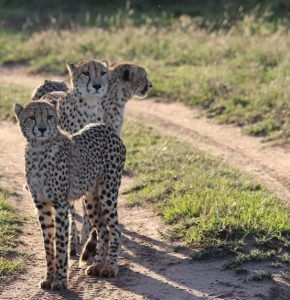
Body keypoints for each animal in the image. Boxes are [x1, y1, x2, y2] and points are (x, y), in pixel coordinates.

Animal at [14, 100, 125, 288]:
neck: (39, 149)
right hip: (90, 198)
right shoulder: (42, 205)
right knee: (103, 229)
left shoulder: (60, 204)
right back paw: (97, 265)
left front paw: (60, 281)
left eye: (50, 117)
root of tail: (106, 127)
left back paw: (110, 267)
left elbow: (60, 243)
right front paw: (49, 278)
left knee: (115, 230)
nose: (42, 129)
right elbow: (48, 244)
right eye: (32, 117)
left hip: (107, 193)